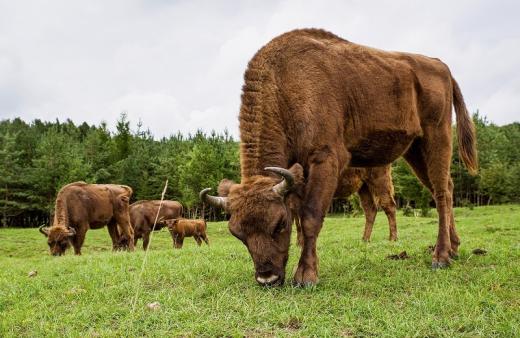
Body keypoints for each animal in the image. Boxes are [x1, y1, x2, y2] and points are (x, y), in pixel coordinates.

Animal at [201, 29, 478, 288]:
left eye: (280, 223)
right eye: (237, 233)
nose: (267, 278)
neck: (285, 85)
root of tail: (441, 65)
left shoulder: (325, 160)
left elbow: (311, 217)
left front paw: (306, 276)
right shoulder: (297, 177)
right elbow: (303, 214)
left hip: (436, 136)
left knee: (440, 192)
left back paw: (440, 257)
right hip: (414, 150)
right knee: (444, 189)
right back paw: (454, 247)